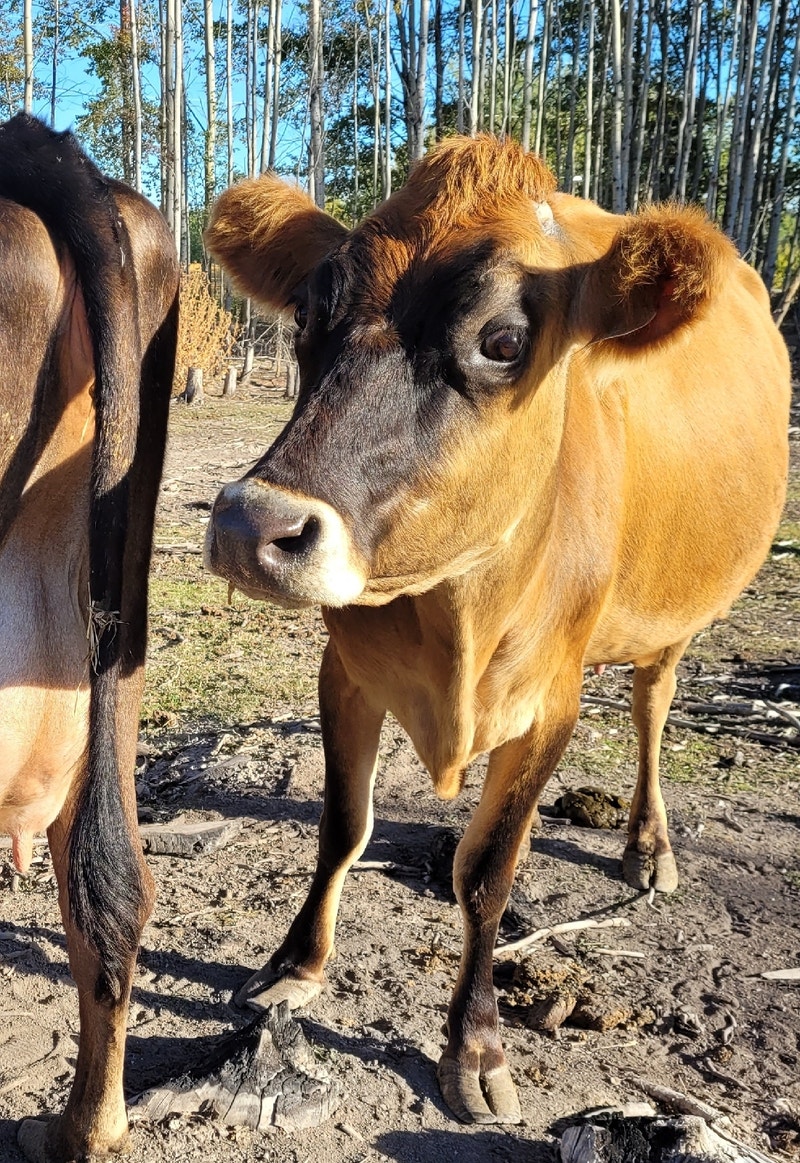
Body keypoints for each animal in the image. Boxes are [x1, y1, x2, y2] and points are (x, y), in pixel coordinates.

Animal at [203, 136, 790, 1126]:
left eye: (504, 341)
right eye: (308, 316)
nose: (254, 526)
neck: (456, 616)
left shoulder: (550, 703)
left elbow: (486, 872)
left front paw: (473, 1042)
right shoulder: (344, 669)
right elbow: (342, 824)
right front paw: (296, 961)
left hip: (677, 619)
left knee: (653, 703)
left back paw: (648, 843)